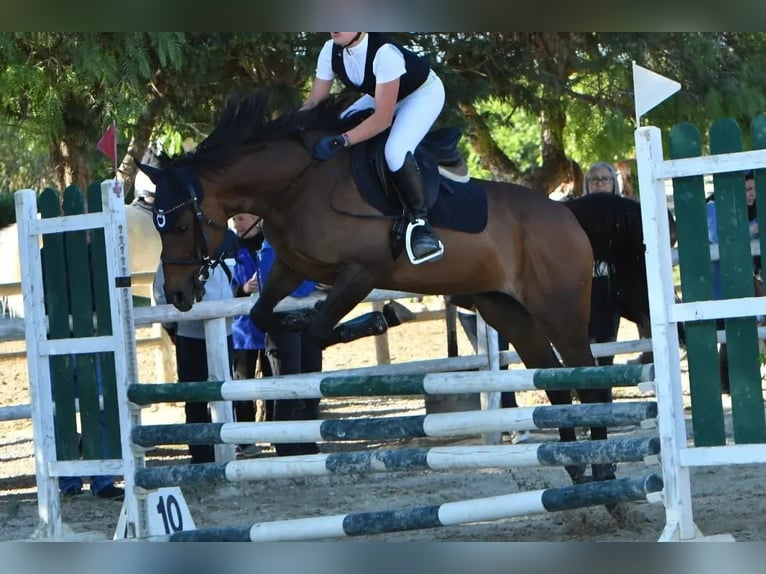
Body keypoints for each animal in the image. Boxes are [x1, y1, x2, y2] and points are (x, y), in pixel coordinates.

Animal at [138, 90, 616, 486]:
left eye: (180, 225)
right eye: (157, 226)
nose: (177, 295)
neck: (300, 186)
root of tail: (567, 215)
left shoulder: (362, 273)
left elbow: (321, 329)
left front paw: (378, 319)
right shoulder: (291, 268)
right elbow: (262, 314)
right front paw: (297, 321)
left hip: (558, 310)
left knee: (589, 378)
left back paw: (604, 470)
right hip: (507, 310)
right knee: (555, 381)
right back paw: (577, 468)